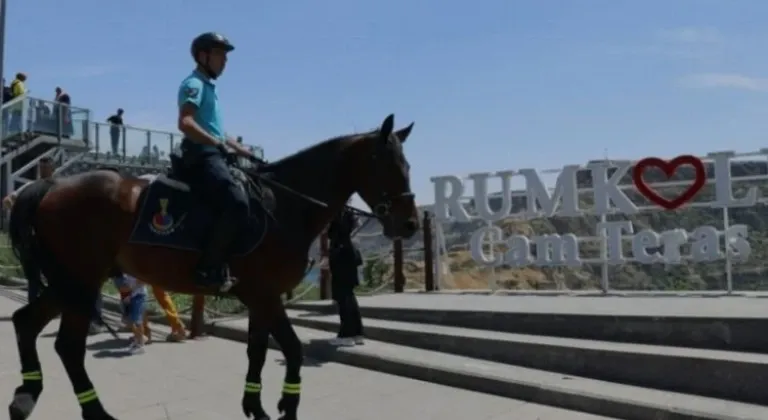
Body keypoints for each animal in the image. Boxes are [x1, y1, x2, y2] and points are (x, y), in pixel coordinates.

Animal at [4, 114, 420, 420]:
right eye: (386, 165)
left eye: (408, 165)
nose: (410, 224)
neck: (283, 204)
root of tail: (50, 185)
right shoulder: (265, 294)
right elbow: (292, 347)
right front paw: (287, 406)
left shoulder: (259, 297)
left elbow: (257, 350)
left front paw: (256, 407)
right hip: (82, 281)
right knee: (68, 346)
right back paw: (95, 413)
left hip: (67, 282)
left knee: (26, 323)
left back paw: (26, 395)